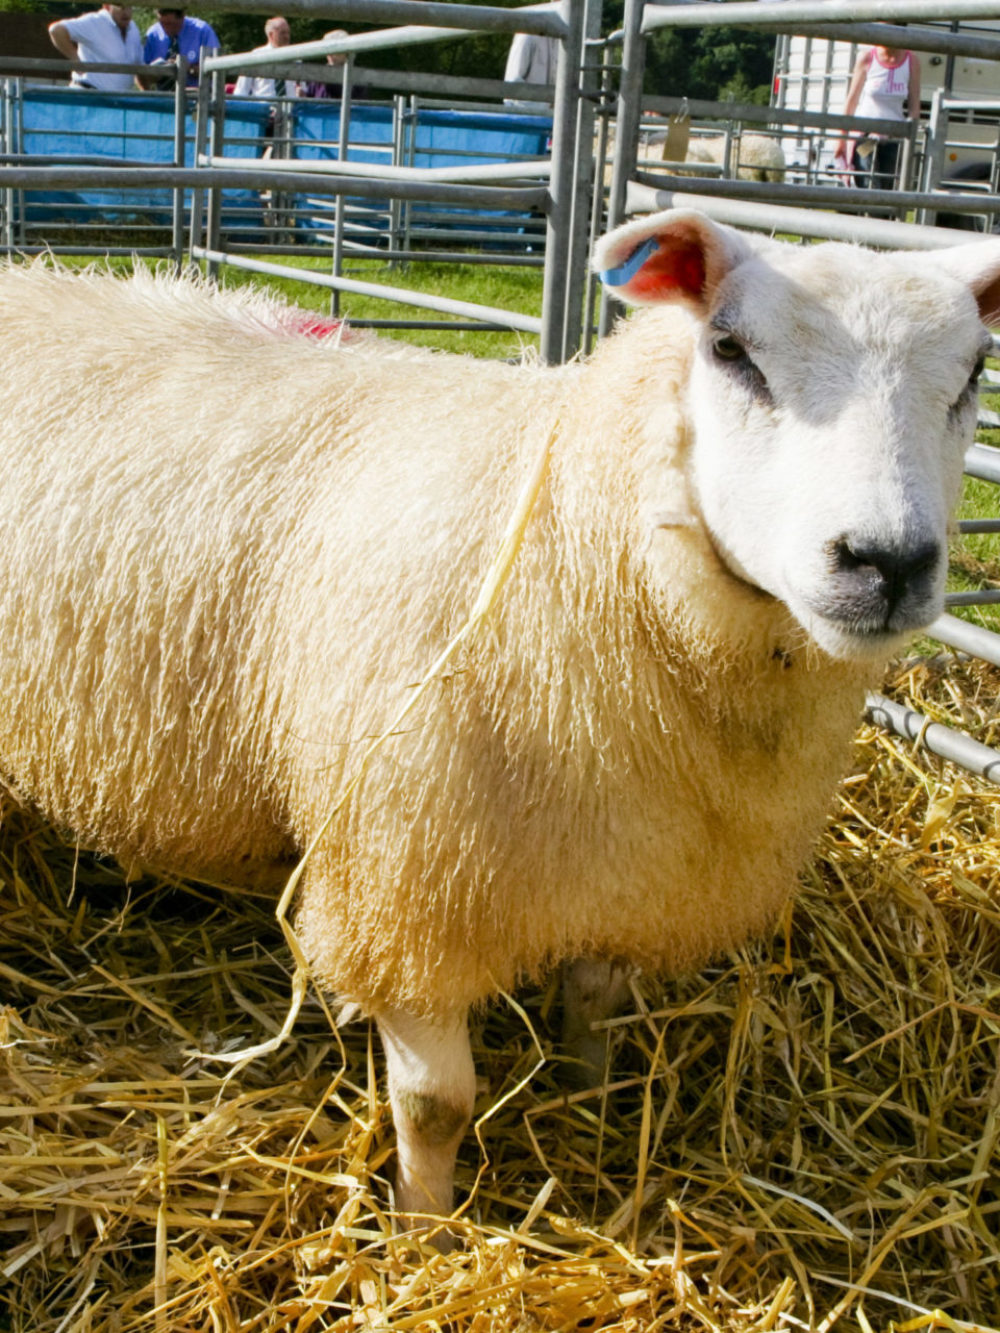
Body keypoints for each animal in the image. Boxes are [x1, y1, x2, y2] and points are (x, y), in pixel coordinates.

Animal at [1, 207, 1000, 1237]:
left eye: (974, 371)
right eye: (729, 349)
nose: (887, 563)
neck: (578, 530)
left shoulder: (629, 866)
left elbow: (595, 1015)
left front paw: (588, 1107)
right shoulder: (408, 885)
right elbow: (436, 1102)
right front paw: (422, 1225)